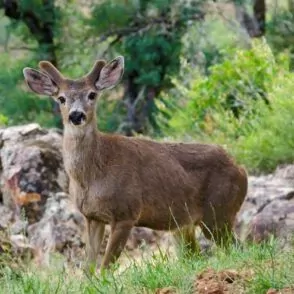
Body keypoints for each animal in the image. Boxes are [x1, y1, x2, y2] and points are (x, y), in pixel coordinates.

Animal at [23, 56, 248, 274]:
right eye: (61, 98)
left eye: (92, 94)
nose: (76, 115)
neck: (93, 176)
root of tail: (240, 169)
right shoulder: (91, 216)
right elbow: (88, 269)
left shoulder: (126, 213)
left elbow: (105, 268)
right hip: (185, 224)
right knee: (198, 254)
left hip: (218, 211)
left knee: (238, 248)